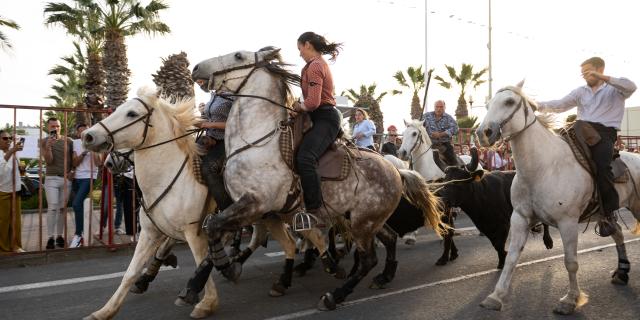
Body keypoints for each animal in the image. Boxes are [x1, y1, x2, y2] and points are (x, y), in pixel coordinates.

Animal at [476, 82, 640, 316]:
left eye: (509, 101)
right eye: (488, 104)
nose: (483, 133)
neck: (543, 168)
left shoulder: (567, 222)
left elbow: (570, 262)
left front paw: (570, 300)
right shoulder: (520, 218)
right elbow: (511, 257)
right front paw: (495, 296)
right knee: (617, 234)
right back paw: (622, 272)